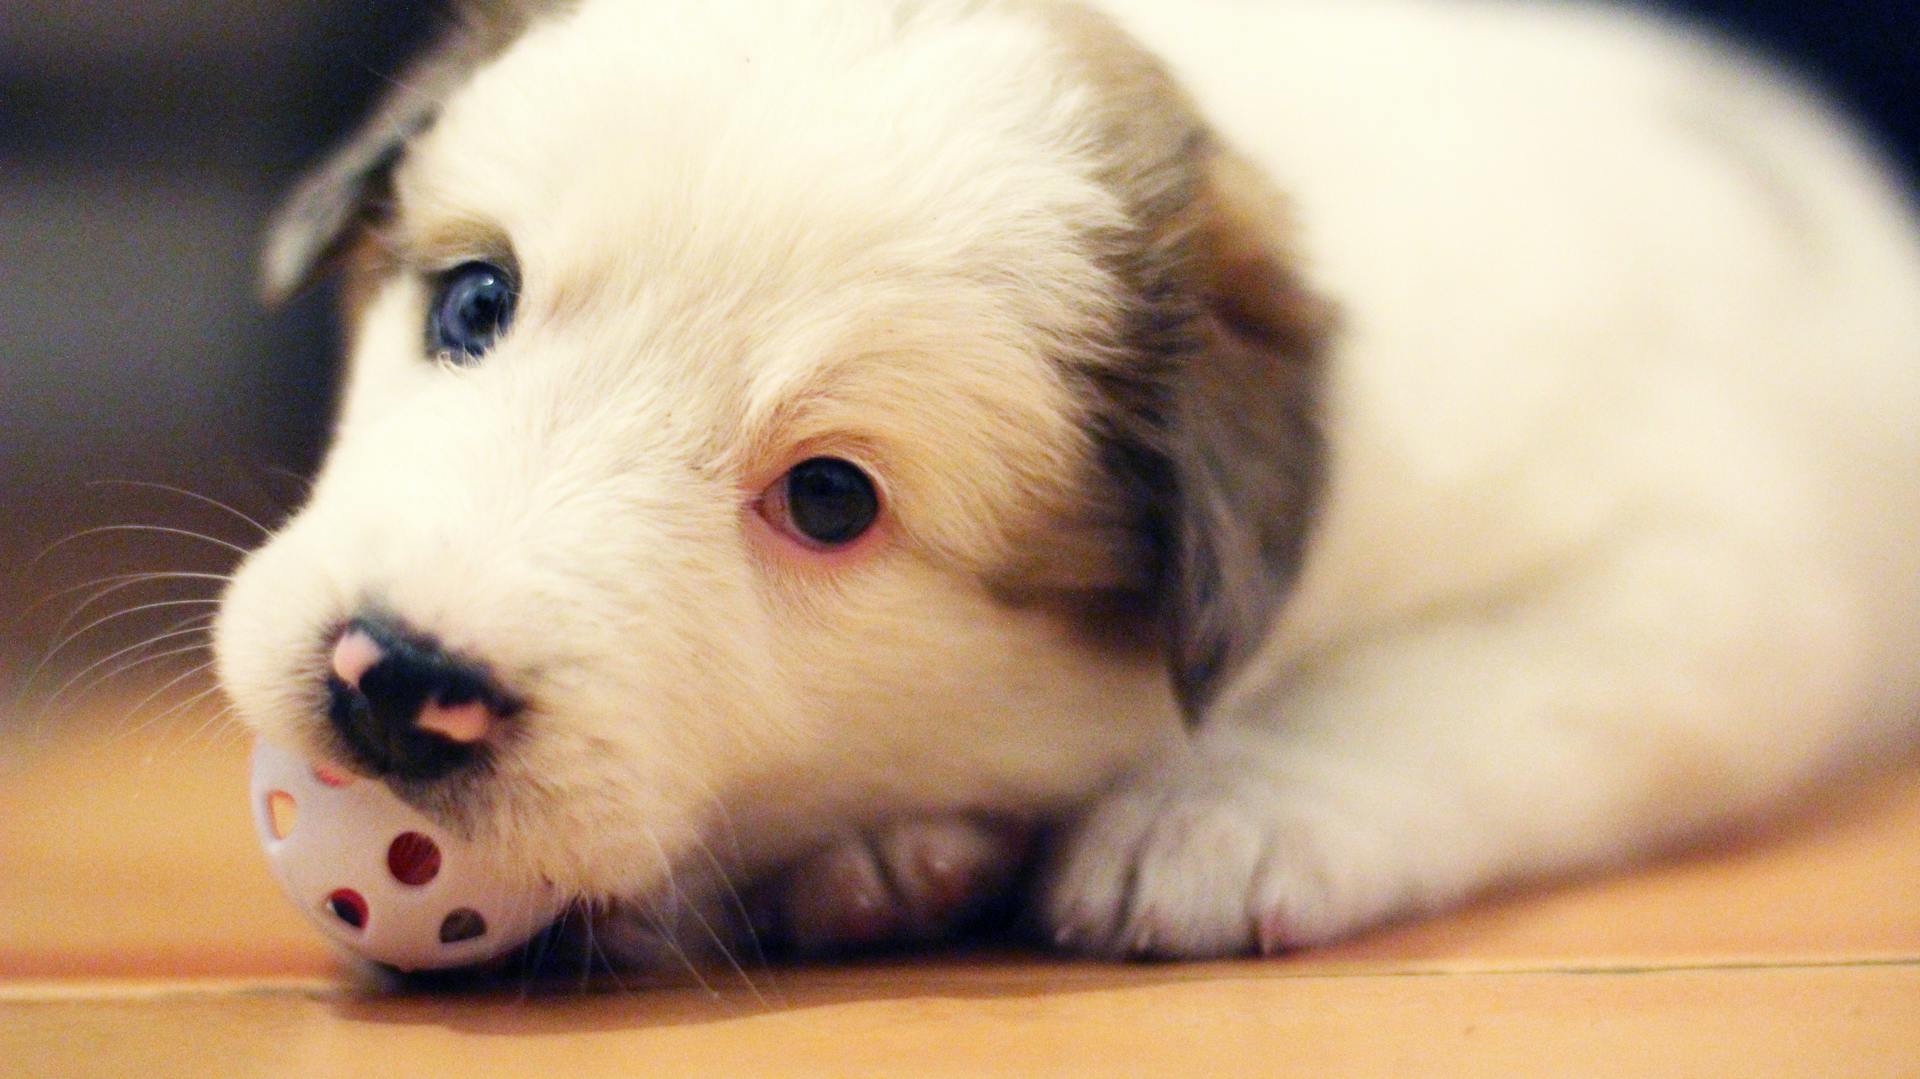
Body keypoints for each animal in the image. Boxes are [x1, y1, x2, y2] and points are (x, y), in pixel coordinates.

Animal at [217, 0, 1920, 956]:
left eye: (829, 500)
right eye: (471, 303)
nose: (397, 675)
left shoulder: (1703, 580)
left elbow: (1447, 690)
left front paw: (1219, 815)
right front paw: (887, 846)